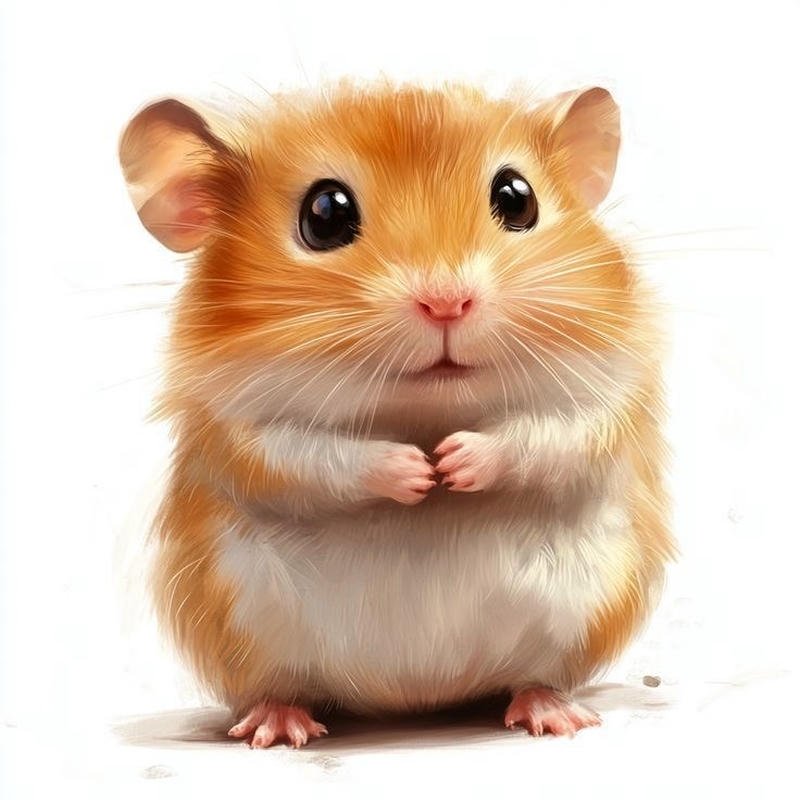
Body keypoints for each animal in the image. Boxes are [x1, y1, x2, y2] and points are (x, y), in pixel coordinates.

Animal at [119, 81, 675, 748]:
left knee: (535, 676)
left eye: (517, 198)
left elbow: (550, 437)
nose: (447, 302)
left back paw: (555, 714)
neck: (425, 409)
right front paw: (418, 472)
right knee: (279, 685)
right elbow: (310, 457)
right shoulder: (235, 427)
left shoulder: (608, 394)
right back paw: (277, 727)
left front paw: (453, 464)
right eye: (325, 214)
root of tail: (411, 702)